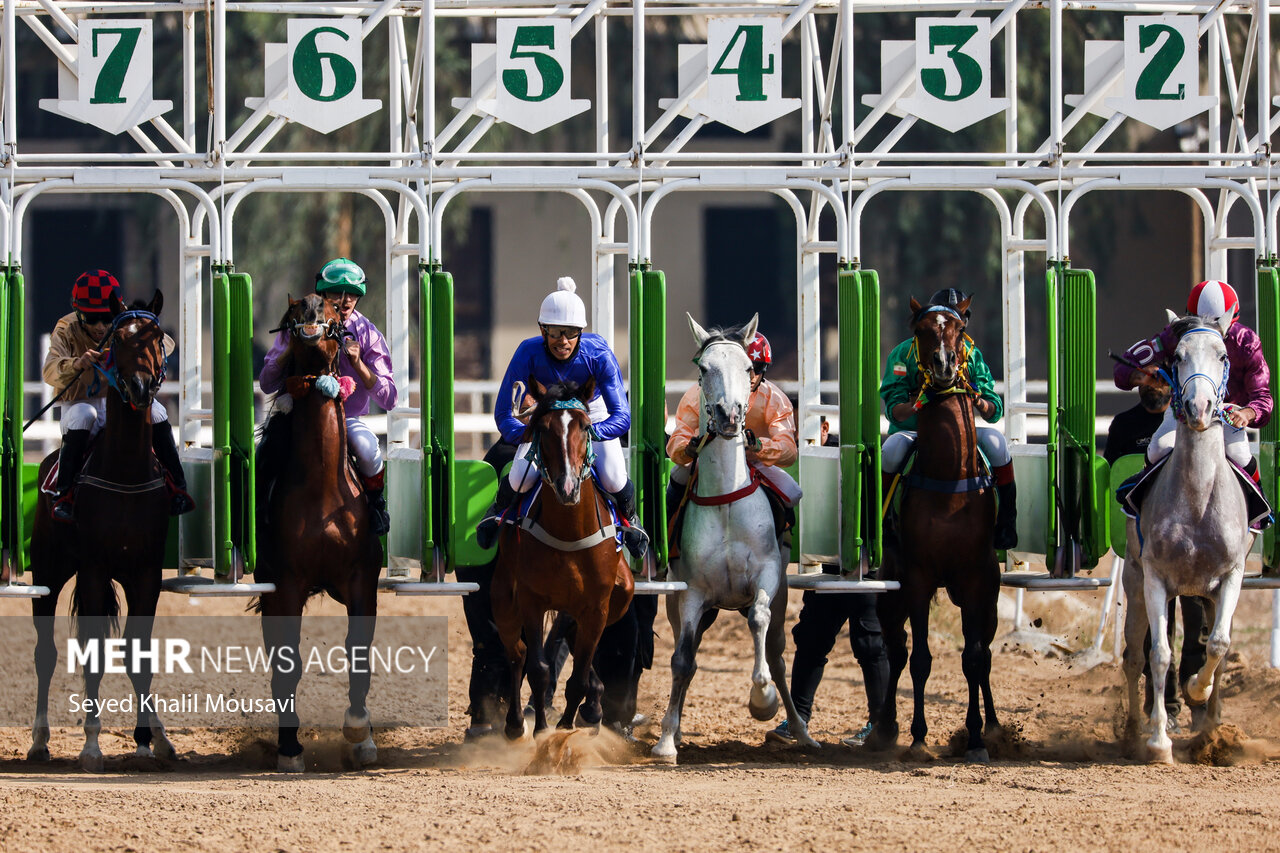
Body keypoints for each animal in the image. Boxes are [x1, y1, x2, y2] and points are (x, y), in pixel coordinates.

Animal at [27, 289, 175, 768]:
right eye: (119, 340)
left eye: (155, 338)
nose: (141, 388)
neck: (125, 471)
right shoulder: (93, 568)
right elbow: (90, 652)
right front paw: (91, 746)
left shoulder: (146, 572)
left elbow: (138, 653)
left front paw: (146, 742)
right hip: (48, 570)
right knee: (45, 652)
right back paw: (39, 740)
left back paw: (160, 738)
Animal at [254, 294, 381, 768]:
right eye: (293, 314)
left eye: (333, 314)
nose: (310, 308)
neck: (323, 488)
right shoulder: (287, 584)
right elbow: (288, 661)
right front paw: (290, 749)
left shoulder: (361, 580)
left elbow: (359, 651)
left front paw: (359, 732)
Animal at [488, 379, 634, 737]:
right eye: (543, 429)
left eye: (585, 426)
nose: (567, 487)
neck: (569, 533)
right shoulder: (531, 600)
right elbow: (538, 668)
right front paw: (542, 730)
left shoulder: (597, 605)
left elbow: (578, 676)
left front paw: (568, 728)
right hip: (503, 597)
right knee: (517, 654)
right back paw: (515, 724)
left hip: (619, 595)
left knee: (575, 641)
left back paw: (593, 706)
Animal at [650, 311, 819, 758]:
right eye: (704, 368)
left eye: (747, 367)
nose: (728, 415)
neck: (726, 500)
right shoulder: (691, 594)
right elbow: (681, 660)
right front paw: (667, 740)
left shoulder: (768, 576)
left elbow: (760, 622)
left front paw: (761, 699)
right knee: (689, 658)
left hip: (780, 598)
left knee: (776, 656)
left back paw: (800, 731)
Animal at [1126, 308, 1254, 758]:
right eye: (1177, 356)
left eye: (1222, 355)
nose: (1199, 408)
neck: (1198, 501)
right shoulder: (1155, 578)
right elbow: (1160, 654)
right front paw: (1159, 741)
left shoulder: (1231, 576)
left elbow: (1219, 644)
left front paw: (1201, 692)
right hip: (1133, 582)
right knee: (1133, 656)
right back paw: (1136, 730)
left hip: (1209, 594)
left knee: (1213, 641)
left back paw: (1211, 726)